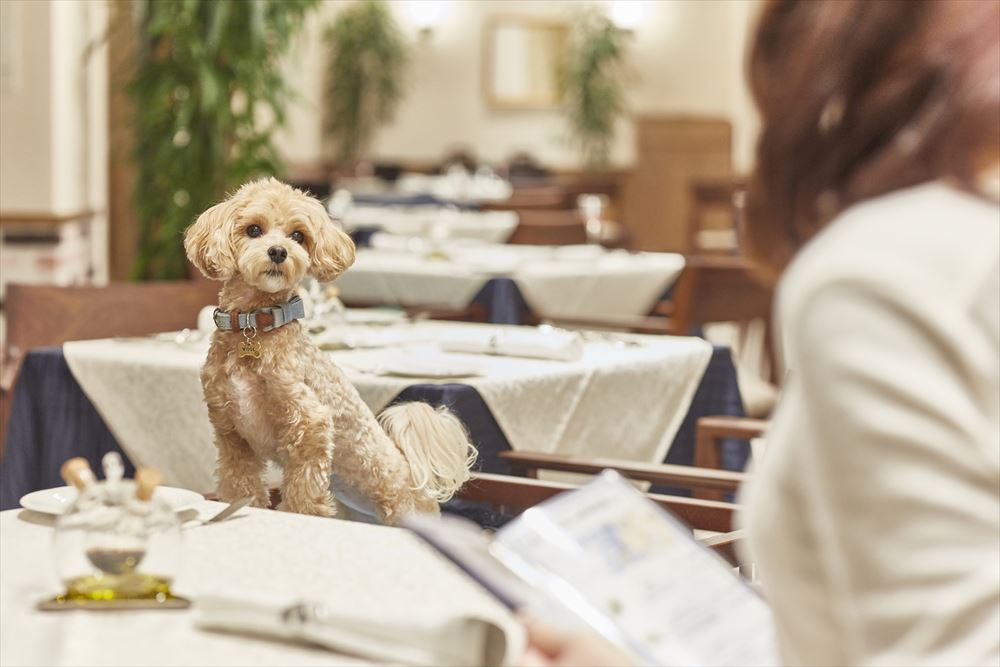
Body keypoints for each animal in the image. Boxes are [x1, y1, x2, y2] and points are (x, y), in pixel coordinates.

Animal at [185, 180, 480, 524]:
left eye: (298, 235)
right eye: (254, 229)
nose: (278, 251)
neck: (255, 326)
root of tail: (413, 471)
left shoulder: (310, 426)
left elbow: (304, 498)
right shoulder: (233, 438)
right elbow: (241, 489)